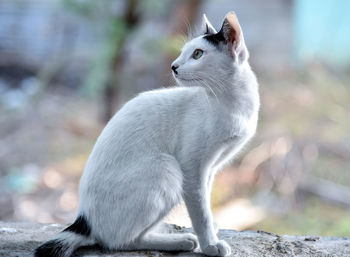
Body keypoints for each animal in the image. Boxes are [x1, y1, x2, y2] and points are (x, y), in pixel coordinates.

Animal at [35, 11, 260, 255]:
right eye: (185, 52)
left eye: (198, 54)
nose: (173, 66)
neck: (231, 105)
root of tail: (85, 218)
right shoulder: (192, 168)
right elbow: (200, 212)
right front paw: (210, 244)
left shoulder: (211, 168)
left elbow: (205, 203)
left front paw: (212, 231)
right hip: (168, 169)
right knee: (119, 241)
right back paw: (180, 240)